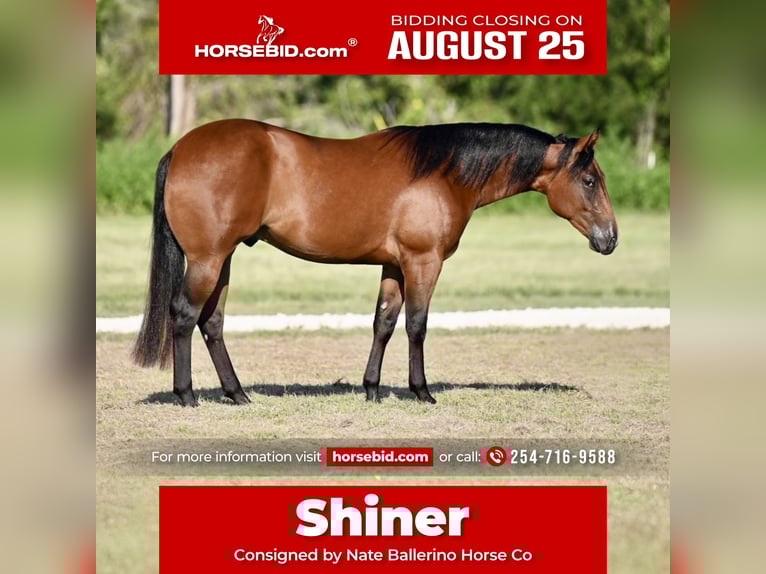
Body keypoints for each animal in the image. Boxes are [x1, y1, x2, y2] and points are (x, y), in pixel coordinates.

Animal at [132, 120, 618, 407]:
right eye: (589, 180)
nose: (611, 238)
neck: (443, 171)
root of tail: (180, 149)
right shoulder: (424, 262)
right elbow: (417, 325)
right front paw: (421, 391)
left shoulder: (394, 266)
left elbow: (383, 323)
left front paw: (372, 389)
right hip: (208, 260)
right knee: (184, 315)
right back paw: (187, 395)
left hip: (224, 259)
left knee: (211, 322)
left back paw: (237, 394)